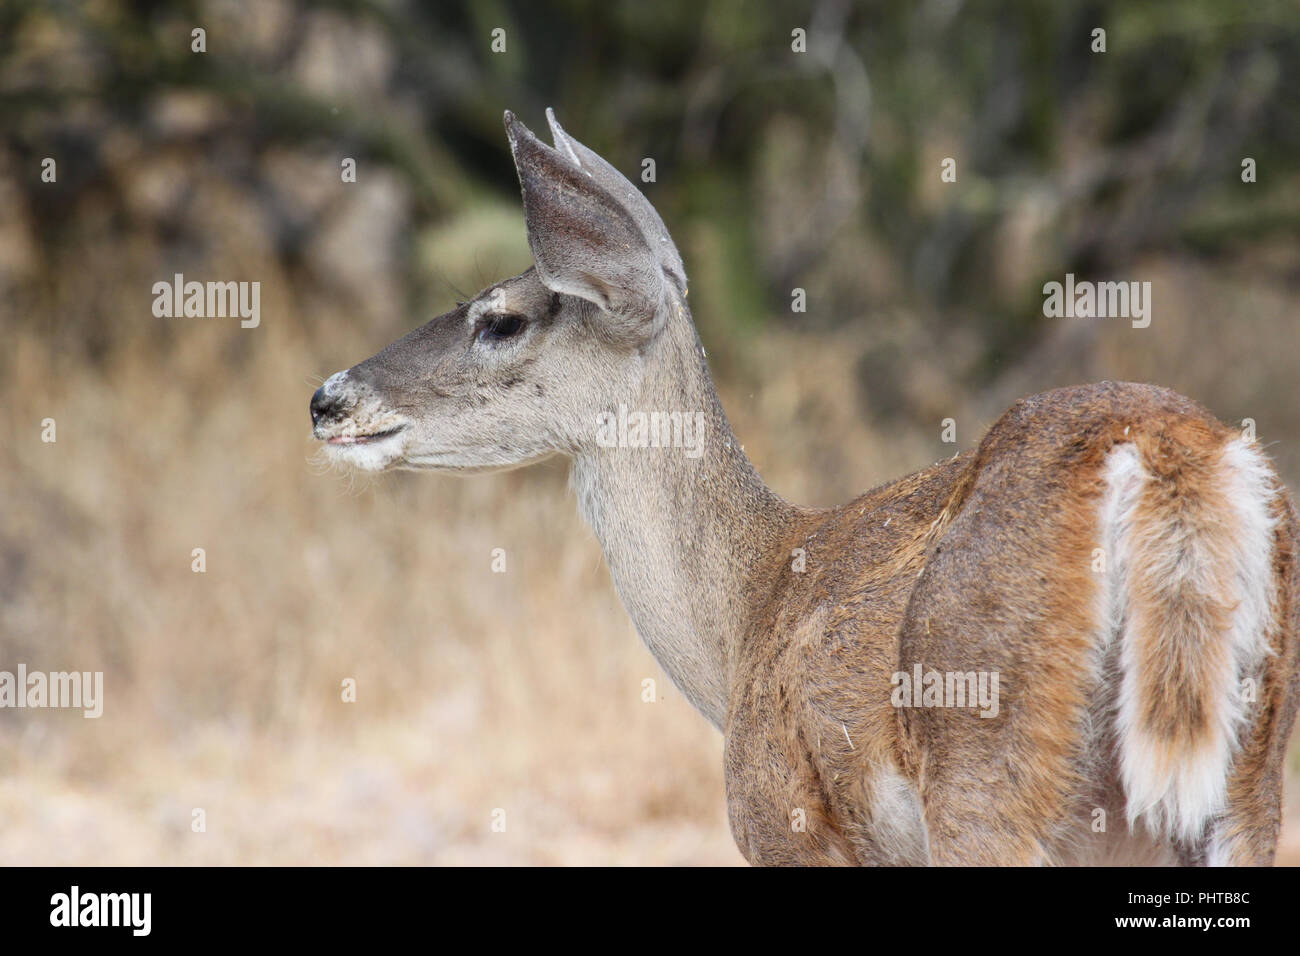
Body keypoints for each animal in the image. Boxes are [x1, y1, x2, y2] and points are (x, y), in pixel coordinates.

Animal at [314, 110, 1300, 868]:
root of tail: (1172, 461)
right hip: (1244, 783)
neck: (743, 617)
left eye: (501, 320)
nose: (327, 399)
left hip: (987, 765)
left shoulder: (785, 823)